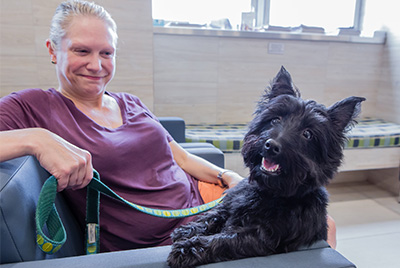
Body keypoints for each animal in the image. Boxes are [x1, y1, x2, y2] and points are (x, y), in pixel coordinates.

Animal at [167, 66, 364, 266]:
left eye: (307, 134)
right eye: (275, 119)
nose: (271, 145)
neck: (269, 191)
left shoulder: (263, 236)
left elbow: (227, 239)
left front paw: (188, 248)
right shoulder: (231, 203)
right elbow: (214, 215)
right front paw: (188, 230)